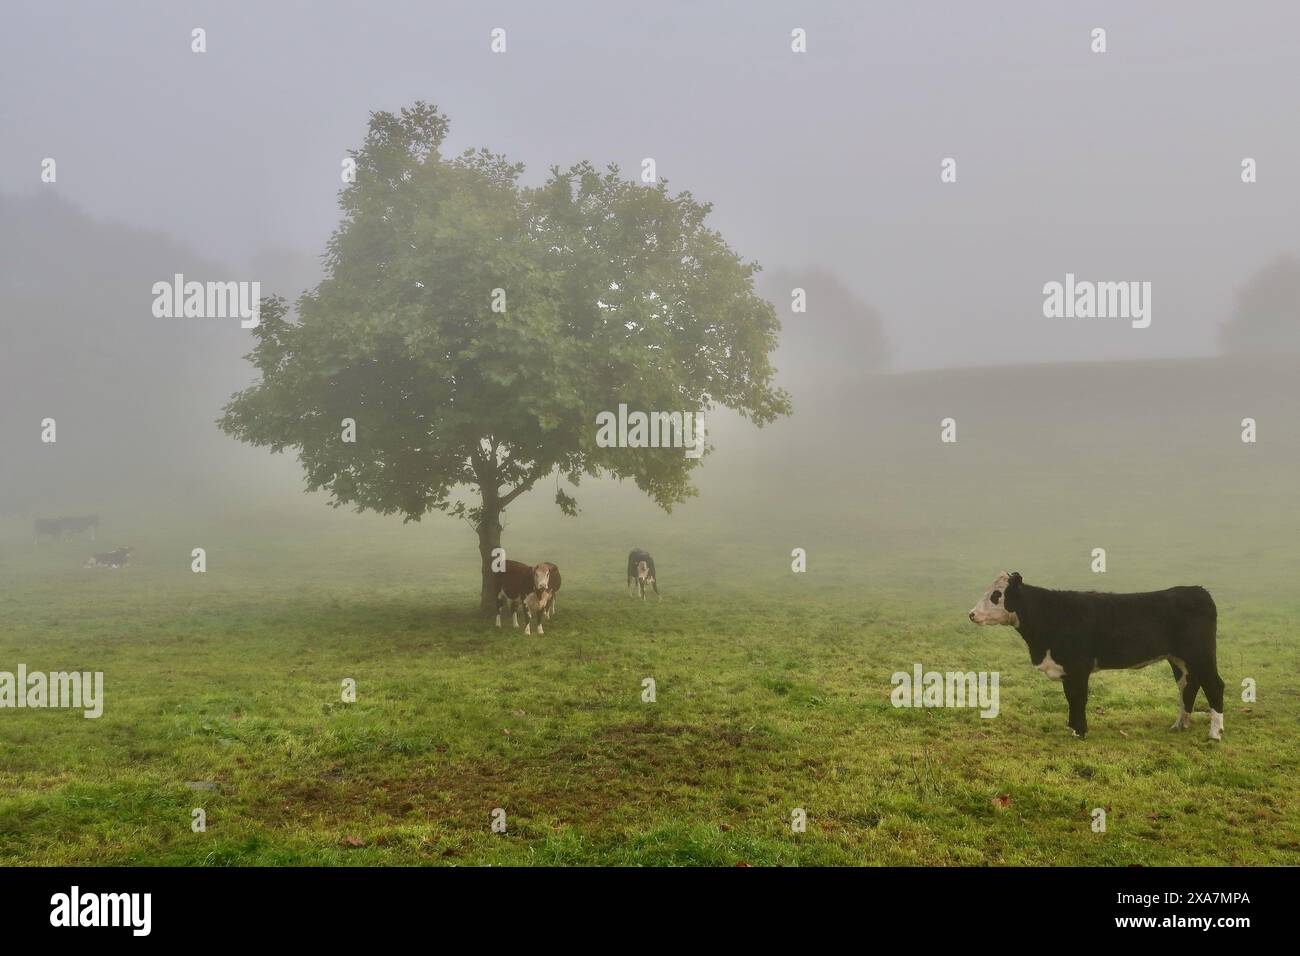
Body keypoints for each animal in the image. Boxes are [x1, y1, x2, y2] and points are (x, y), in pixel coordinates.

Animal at [972, 572, 1222, 743]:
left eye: (996, 595)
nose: (971, 614)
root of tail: (1197, 590)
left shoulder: (1078, 667)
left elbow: (1078, 698)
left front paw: (1080, 731)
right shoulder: (1067, 670)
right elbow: (1070, 698)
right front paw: (1072, 728)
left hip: (1201, 654)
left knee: (1214, 685)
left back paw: (1215, 733)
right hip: (1179, 659)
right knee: (1188, 686)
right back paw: (1180, 725)